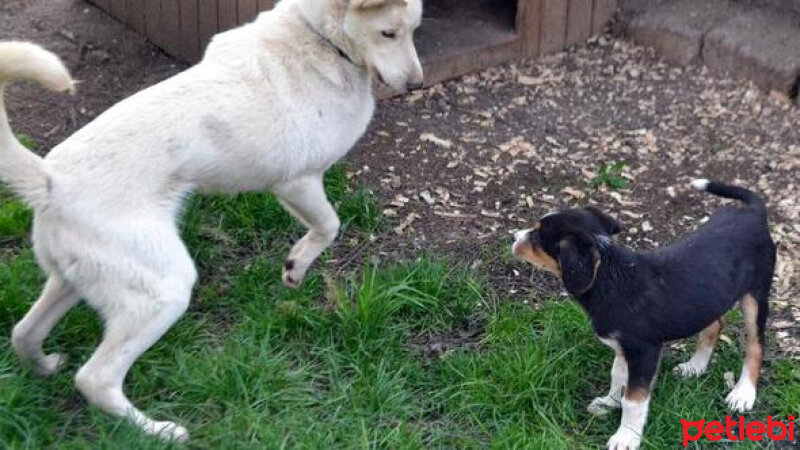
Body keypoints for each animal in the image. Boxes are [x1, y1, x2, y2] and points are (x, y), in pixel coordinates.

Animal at [0, 0, 424, 442]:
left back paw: (45, 367)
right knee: (95, 378)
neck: (320, 38)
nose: (417, 84)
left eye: (414, 30)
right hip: (164, 290)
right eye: (388, 33)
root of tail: (49, 181)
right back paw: (159, 431)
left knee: (23, 333)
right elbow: (329, 226)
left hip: (74, 281)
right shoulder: (298, 182)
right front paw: (296, 266)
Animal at [512, 180, 776, 450]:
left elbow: (633, 399)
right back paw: (695, 366)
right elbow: (618, 376)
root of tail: (753, 213)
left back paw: (743, 393)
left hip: (756, 294)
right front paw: (609, 403)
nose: (513, 236)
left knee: (756, 345)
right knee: (715, 324)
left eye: (536, 236)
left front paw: (626, 436)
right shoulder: (622, 347)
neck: (609, 277)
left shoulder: (644, 350)